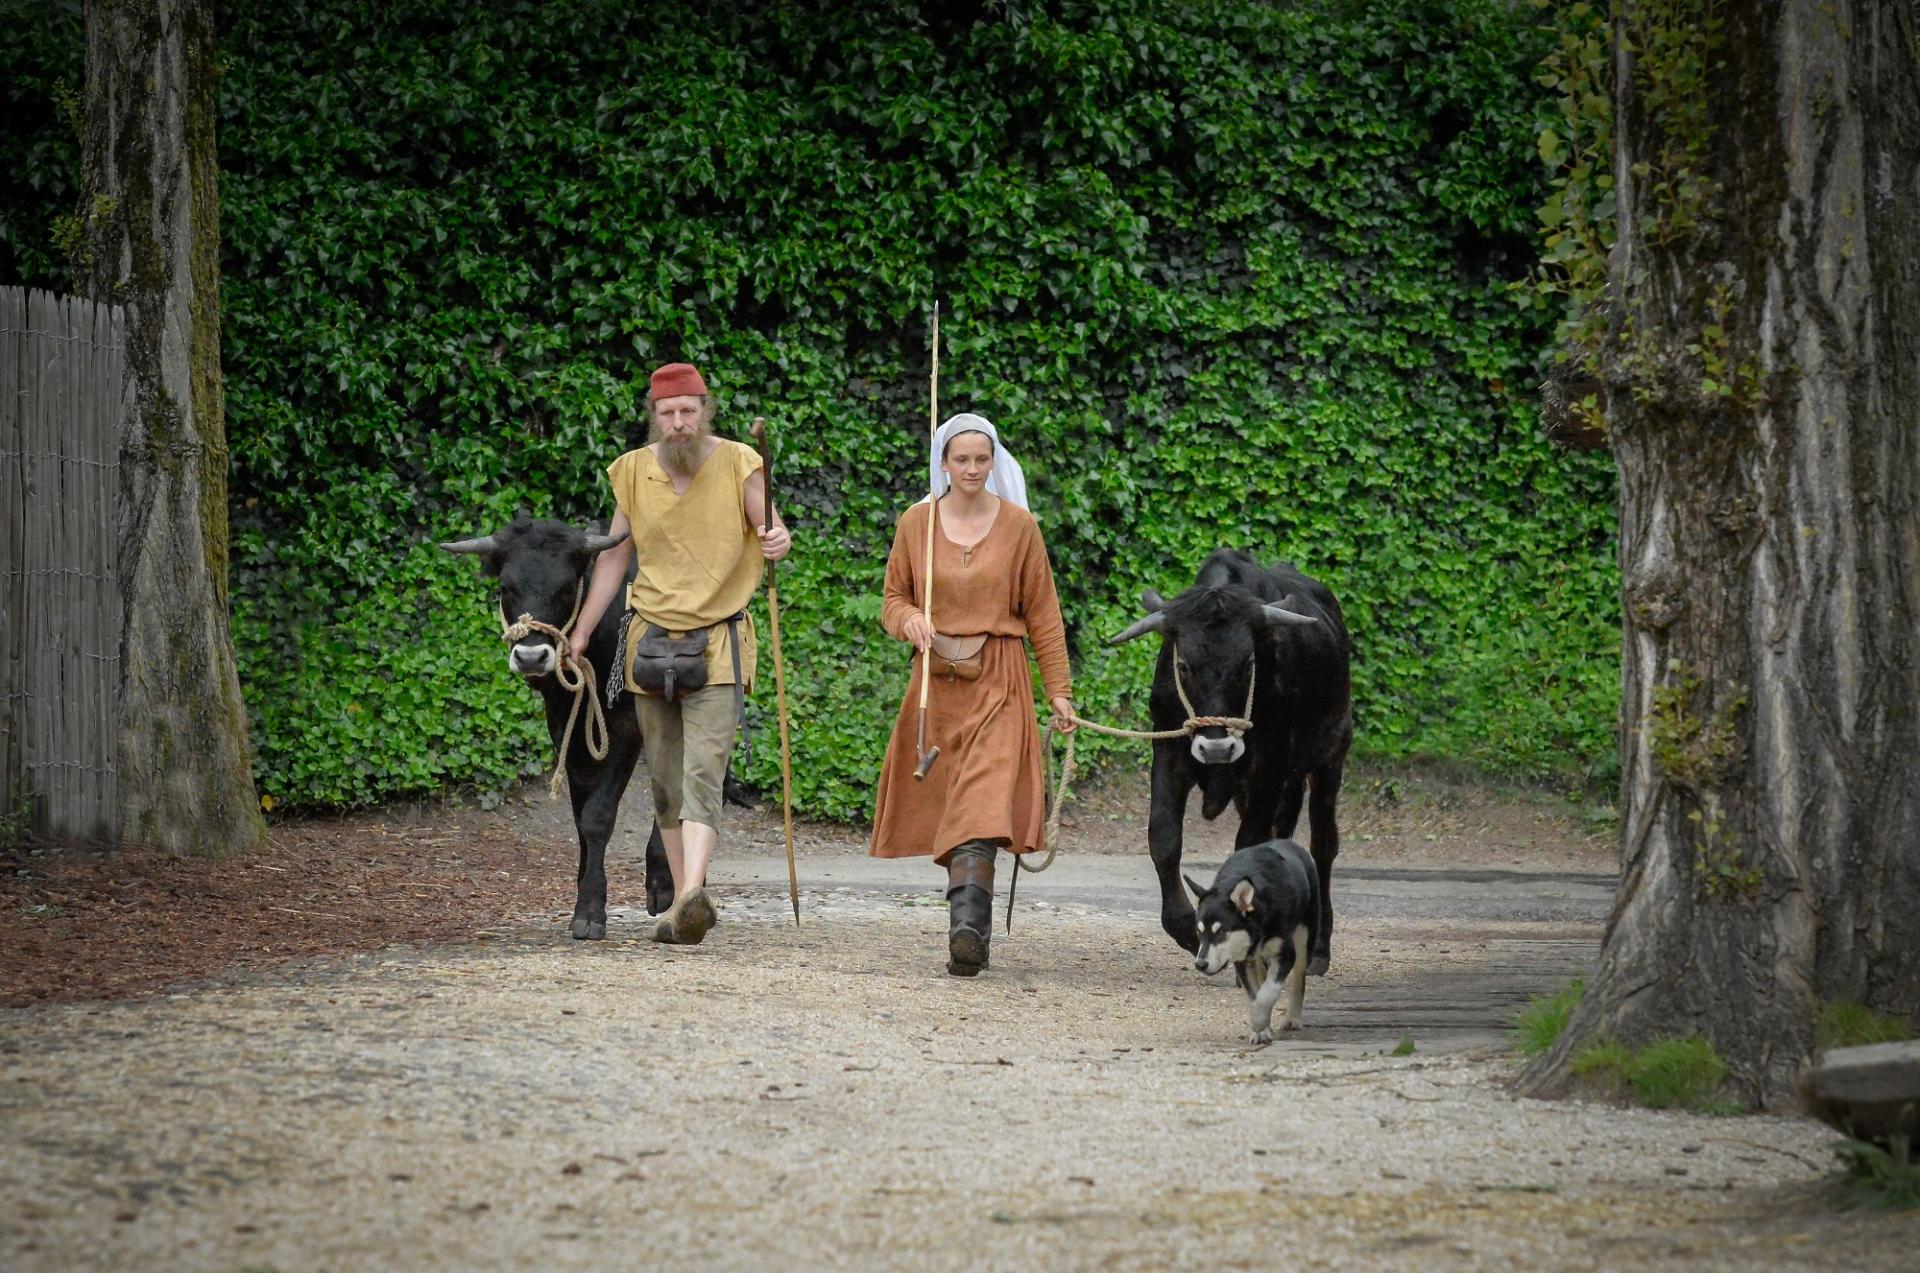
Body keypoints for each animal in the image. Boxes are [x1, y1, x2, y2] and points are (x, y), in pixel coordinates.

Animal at [441, 514, 675, 940]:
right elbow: (581, 816)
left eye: (566, 587)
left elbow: (598, 815)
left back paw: (663, 883)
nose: (532, 656)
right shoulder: (564, 723)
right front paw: (584, 892)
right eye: (505, 587)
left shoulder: (625, 725)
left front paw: (591, 911)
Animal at [1105, 549, 1359, 975]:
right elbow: (1163, 837)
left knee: (1323, 846)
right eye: (1184, 666)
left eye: (1248, 664)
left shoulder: (1268, 769)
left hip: (1330, 758)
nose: (1218, 749)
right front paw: (1187, 927)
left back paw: (1319, 949)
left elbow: (1248, 843)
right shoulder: (1170, 753)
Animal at [1182, 837, 1320, 1044]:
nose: (1200, 964)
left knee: (1298, 980)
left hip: (1304, 939)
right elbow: (1254, 994)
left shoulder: (1285, 954)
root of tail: (1288, 842)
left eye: (1221, 932)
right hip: (1258, 959)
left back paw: (1292, 1018)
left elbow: (1266, 993)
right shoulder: (1242, 960)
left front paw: (1258, 1021)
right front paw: (1261, 1029)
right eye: (1199, 933)